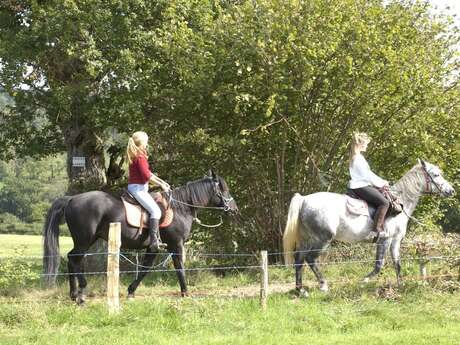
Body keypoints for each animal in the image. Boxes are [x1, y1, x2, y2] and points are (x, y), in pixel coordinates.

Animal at [43, 171, 237, 302]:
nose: (234, 209)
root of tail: (72, 199)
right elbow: (180, 267)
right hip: (84, 240)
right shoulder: (176, 244)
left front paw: (131, 290)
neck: (180, 208)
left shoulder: (152, 248)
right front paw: (185, 292)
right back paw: (81, 291)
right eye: (224, 189)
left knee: (72, 259)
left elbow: (145, 269)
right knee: (74, 259)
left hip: (88, 240)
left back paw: (73, 294)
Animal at [282, 159, 454, 296]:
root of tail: (304, 200)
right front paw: (363, 281)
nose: (451, 190)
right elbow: (379, 265)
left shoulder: (395, 241)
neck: (400, 202)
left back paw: (300, 290)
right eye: (436, 175)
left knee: (299, 259)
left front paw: (400, 286)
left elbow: (397, 263)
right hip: (322, 239)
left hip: (307, 239)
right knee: (310, 259)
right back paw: (323, 285)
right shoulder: (385, 239)